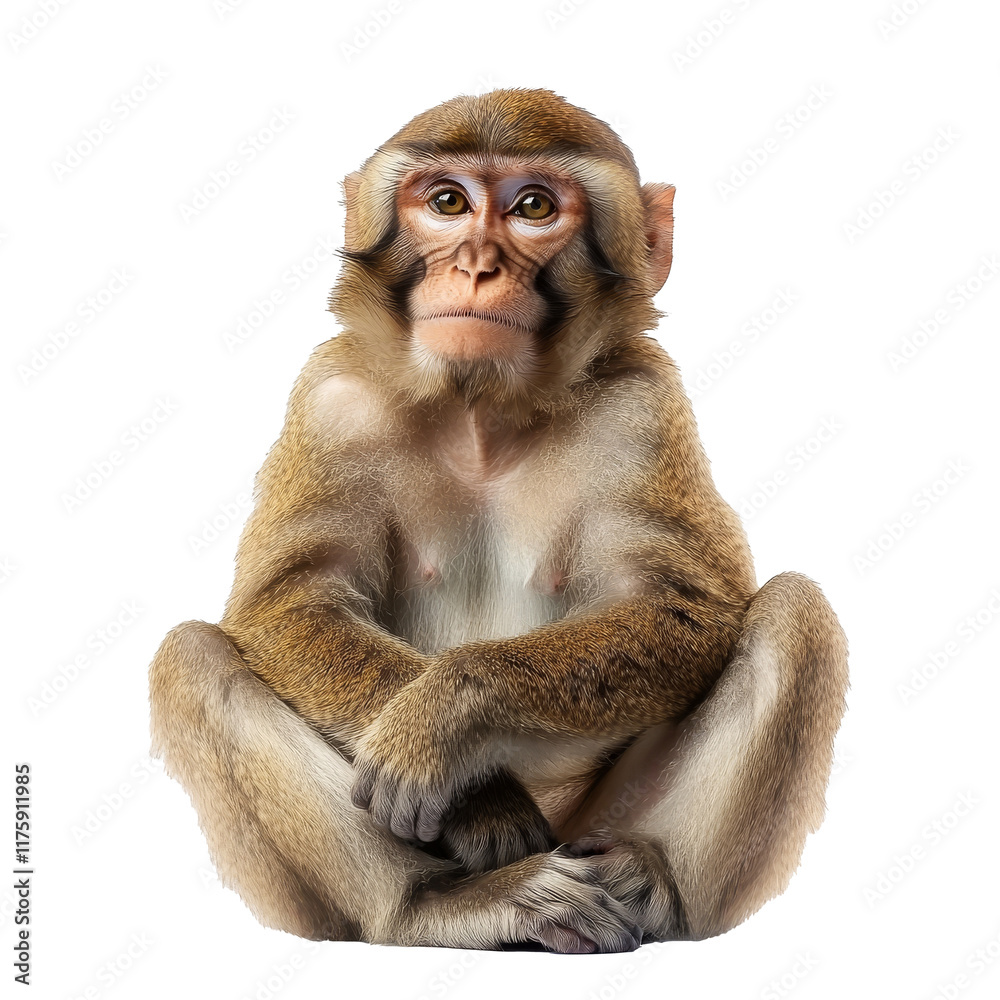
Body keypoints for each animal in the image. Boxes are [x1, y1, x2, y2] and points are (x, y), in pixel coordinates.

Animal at [149, 88, 848, 954]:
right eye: (448, 202)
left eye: (533, 207)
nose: (478, 266)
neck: (479, 412)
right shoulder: (331, 402)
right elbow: (290, 602)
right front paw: (479, 802)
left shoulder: (643, 410)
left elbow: (683, 607)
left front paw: (447, 717)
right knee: (193, 659)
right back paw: (440, 904)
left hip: (592, 822)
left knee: (795, 615)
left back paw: (656, 888)